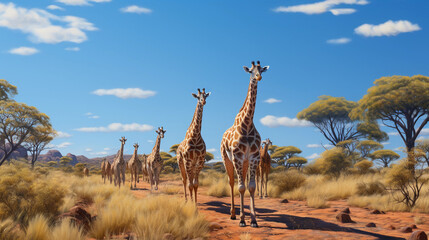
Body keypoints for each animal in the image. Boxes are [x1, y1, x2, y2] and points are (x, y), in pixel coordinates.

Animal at [221, 60, 268, 227]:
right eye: (250, 71)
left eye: (261, 70)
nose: (258, 77)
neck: (247, 124)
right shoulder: (237, 157)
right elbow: (241, 187)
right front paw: (242, 219)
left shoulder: (253, 157)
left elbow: (251, 187)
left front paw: (253, 220)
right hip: (227, 159)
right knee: (232, 182)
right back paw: (233, 214)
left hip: (245, 162)